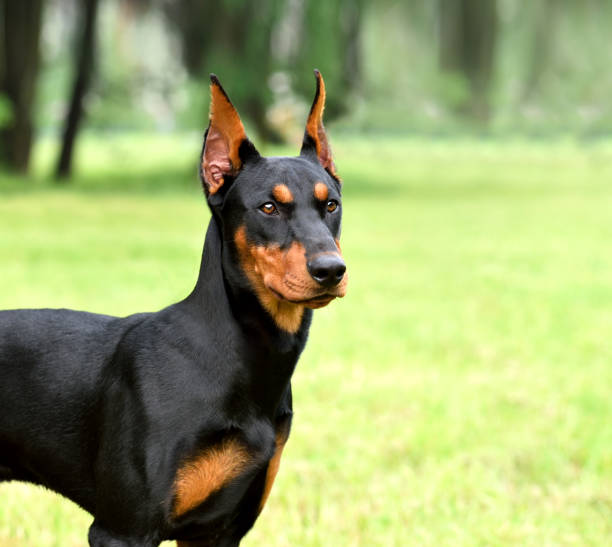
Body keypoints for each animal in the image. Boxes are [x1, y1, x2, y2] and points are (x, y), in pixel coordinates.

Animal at [0, 70, 346, 544]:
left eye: (331, 204)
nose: (331, 270)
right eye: (268, 207)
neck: (236, 356)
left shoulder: (218, 531)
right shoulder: (122, 528)